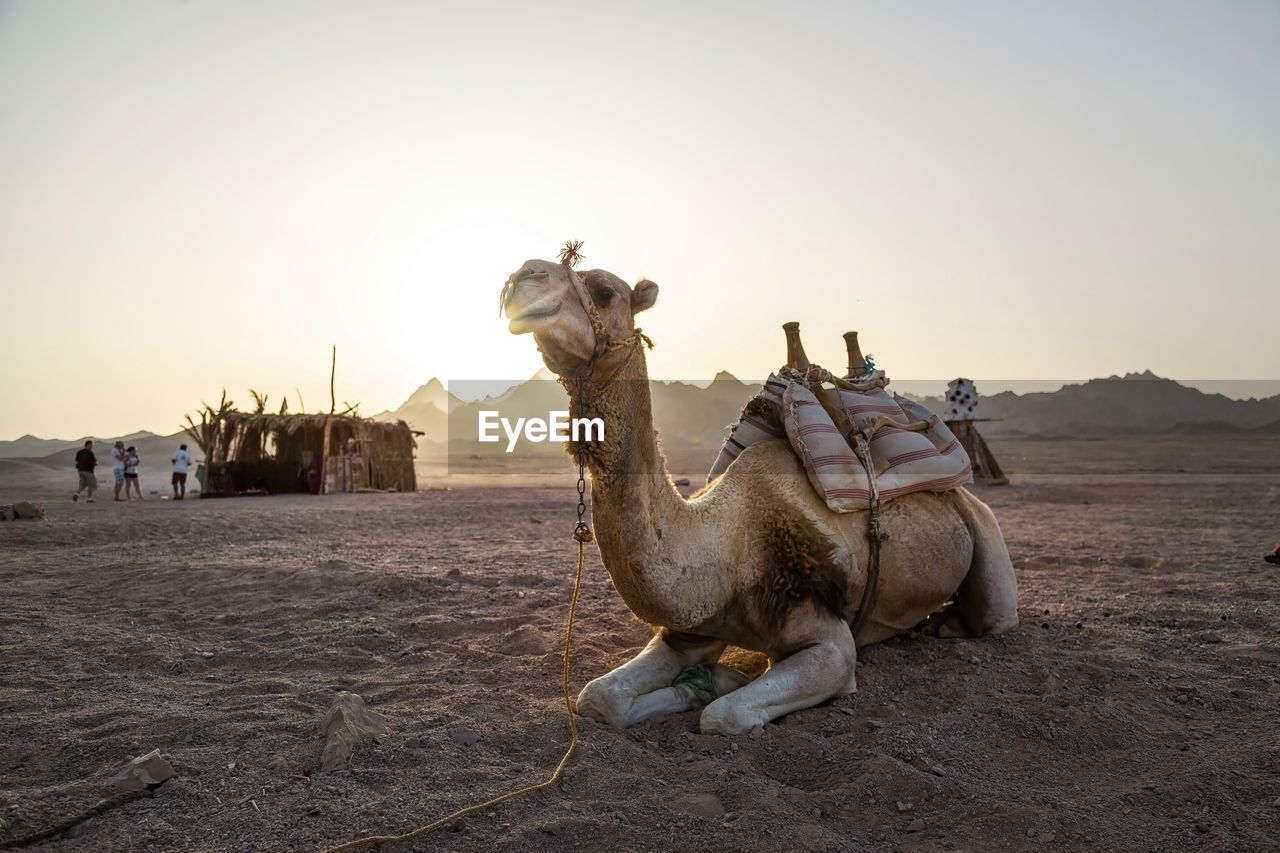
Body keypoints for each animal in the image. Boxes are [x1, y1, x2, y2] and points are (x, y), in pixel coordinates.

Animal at [499, 257, 1018, 732]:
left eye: (604, 291)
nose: (521, 276)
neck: (727, 545)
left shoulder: (832, 646)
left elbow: (724, 716)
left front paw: (722, 686)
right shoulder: (688, 630)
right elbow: (597, 697)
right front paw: (707, 682)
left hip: (984, 533)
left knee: (992, 616)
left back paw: (944, 624)